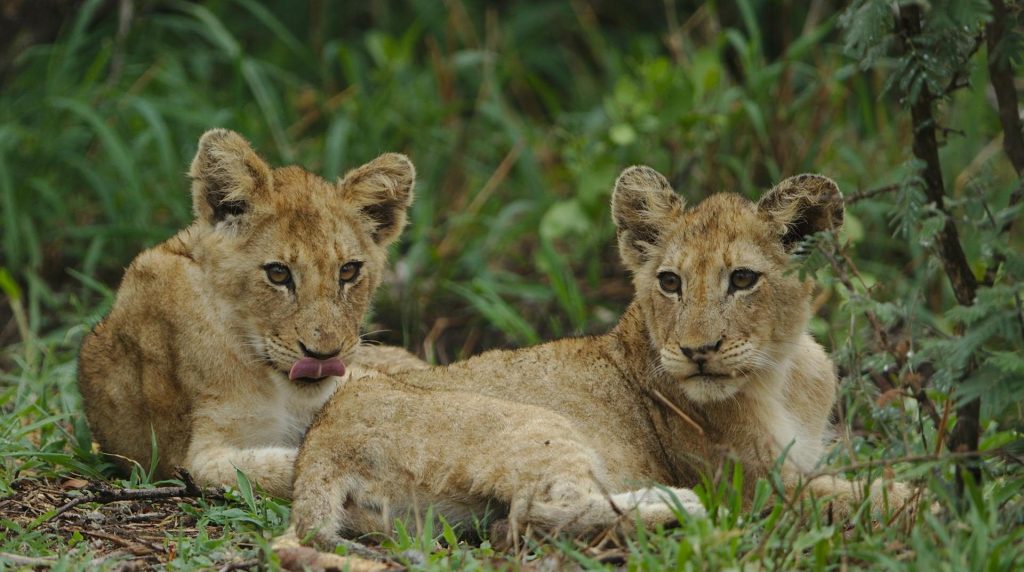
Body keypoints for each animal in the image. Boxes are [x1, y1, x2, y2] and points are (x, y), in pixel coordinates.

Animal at [289, 165, 914, 547]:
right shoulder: (757, 484)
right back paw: (680, 505)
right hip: (535, 424)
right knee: (535, 516)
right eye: (670, 282)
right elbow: (871, 496)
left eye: (742, 279)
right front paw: (929, 499)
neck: (780, 373)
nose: (697, 351)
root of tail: (319, 444)